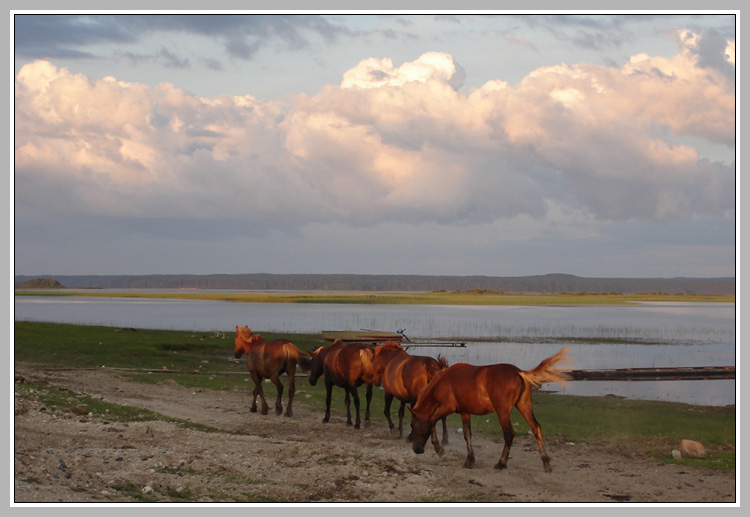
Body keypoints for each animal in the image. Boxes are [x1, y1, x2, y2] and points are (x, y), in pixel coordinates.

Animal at [408, 346, 572, 472]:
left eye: (412, 425)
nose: (416, 449)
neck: (443, 380)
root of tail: (518, 372)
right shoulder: (464, 412)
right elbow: (467, 434)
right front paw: (470, 460)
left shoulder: (448, 407)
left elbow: (432, 420)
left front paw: (438, 448)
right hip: (524, 406)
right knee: (536, 428)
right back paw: (546, 462)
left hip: (503, 412)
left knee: (509, 434)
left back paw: (502, 463)